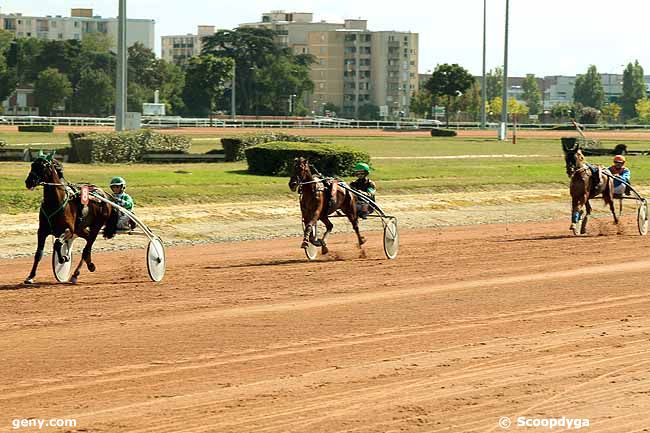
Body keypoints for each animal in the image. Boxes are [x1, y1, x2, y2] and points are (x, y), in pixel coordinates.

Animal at [23, 152, 119, 284]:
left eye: (43, 166)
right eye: (32, 164)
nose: (29, 181)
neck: (55, 202)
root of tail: (104, 195)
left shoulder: (69, 229)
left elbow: (58, 243)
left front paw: (63, 258)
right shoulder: (42, 231)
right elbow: (39, 253)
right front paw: (30, 276)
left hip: (96, 225)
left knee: (87, 248)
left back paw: (81, 271)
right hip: (80, 228)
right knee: (88, 241)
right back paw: (83, 268)